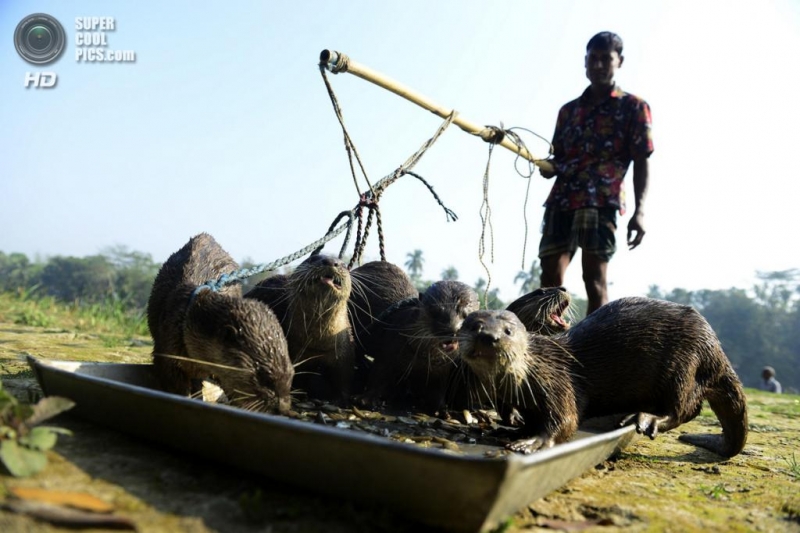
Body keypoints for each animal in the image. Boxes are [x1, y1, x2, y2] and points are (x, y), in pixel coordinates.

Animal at [245, 256, 354, 402]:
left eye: (343, 265)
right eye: (313, 258)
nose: (331, 262)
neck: (317, 343)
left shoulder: (344, 353)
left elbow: (344, 380)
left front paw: (340, 400)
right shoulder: (294, 352)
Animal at [460, 300, 748, 458]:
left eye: (508, 331)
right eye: (475, 326)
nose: (489, 337)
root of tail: (713, 344)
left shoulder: (557, 380)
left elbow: (566, 419)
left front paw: (532, 442)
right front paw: (514, 427)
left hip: (683, 364)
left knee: (685, 408)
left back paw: (645, 418)